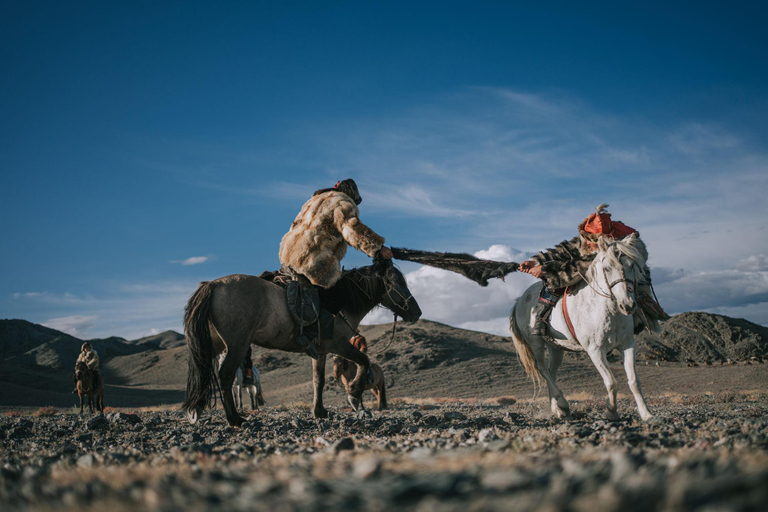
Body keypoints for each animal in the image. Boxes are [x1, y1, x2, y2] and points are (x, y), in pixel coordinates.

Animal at [183, 260, 421, 426]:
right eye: (395, 282)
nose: (416, 312)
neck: (341, 301)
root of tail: (213, 285)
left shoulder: (321, 351)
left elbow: (318, 380)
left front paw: (319, 412)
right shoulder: (338, 345)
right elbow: (363, 360)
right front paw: (354, 394)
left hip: (215, 344)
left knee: (202, 369)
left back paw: (196, 409)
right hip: (237, 344)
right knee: (224, 375)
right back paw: (234, 419)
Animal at [509, 235, 653, 422]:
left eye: (632, 265)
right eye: (607, 268)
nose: (628, 305)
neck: (607, 310)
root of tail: (519, 300)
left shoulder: (628, 344)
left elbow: (634, 381)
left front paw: (646, 413)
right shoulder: (595, 350)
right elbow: (611, 382)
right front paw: (612, 412)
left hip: (556, 348)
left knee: (551, 372)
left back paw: (557, 408)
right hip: (536, 343)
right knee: (542, 369)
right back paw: (563, 403)